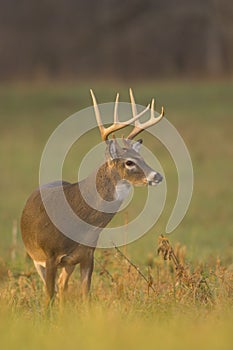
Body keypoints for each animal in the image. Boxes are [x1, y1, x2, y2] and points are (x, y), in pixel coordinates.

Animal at [20, 89, 165, 302]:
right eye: (129, 162)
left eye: (142, 158)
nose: (157, 175)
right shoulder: (50, 255)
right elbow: (48, 298)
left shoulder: (87, 255)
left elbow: (85, 296)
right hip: (35, 258)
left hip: (68, 264)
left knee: (62, 286)